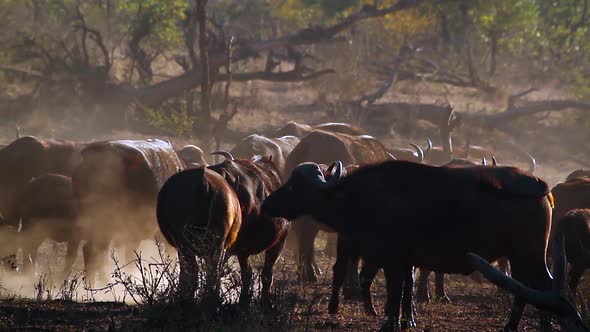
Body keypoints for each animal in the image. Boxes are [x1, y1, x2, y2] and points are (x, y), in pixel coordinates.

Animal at [156, 154, 288, 304]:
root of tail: (203, 182)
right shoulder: (278, 242)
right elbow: (263, 275)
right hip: (217, 243)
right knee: (212, 272)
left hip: (184, 244)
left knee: (191, 272)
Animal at [264, 160, 556, 330]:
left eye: (294, 186)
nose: (267, 203)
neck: (361, 196)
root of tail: (537, 184)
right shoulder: (404, 261)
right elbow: (405, 291)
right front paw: (404, 321)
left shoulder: (393, 259)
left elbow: (395, 292)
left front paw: (390, 323)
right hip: (521, 256)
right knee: (527, 288)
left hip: (529, 254)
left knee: (541, 287)